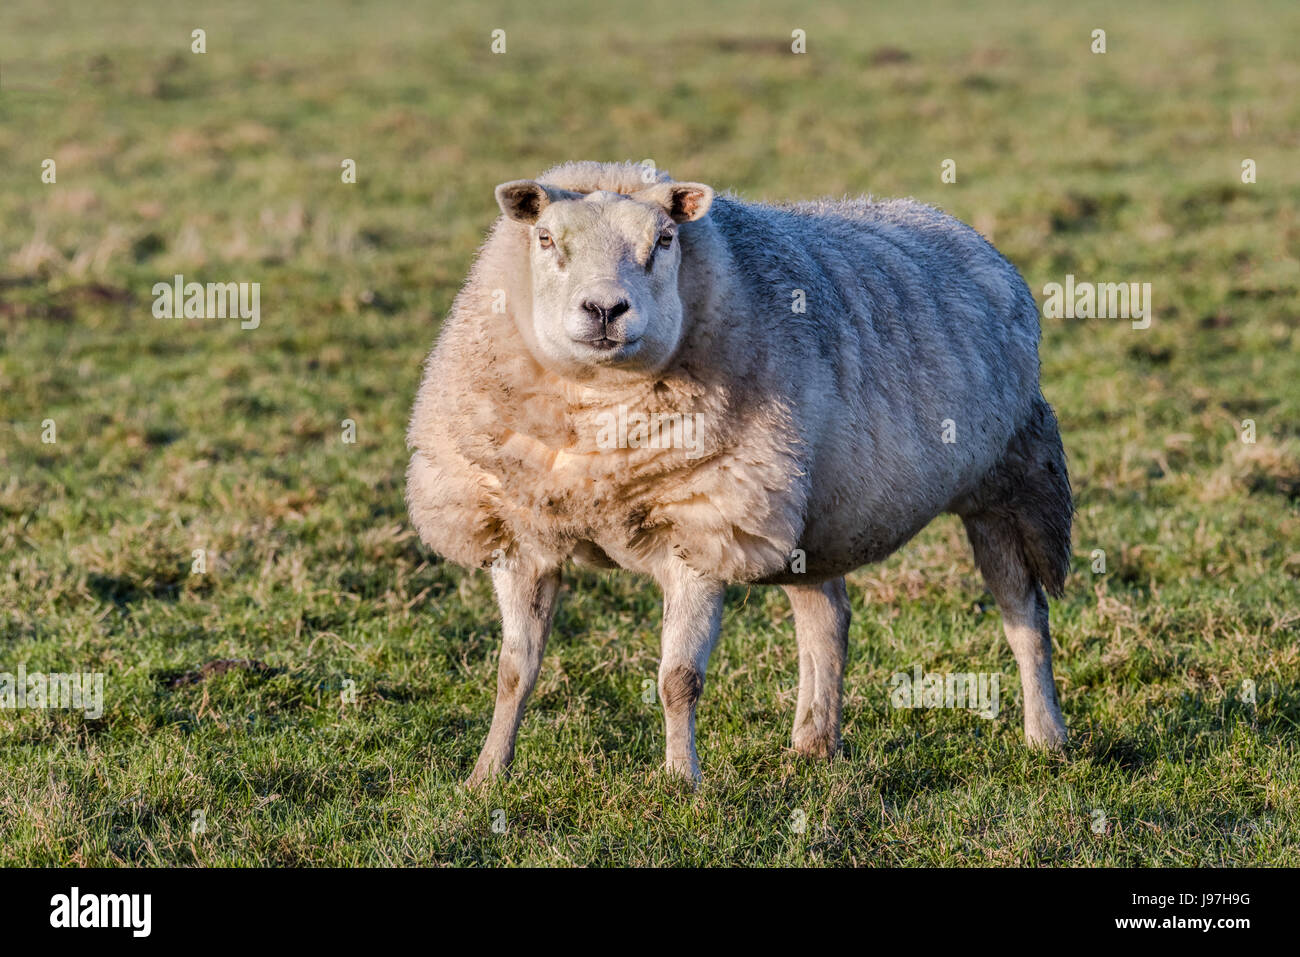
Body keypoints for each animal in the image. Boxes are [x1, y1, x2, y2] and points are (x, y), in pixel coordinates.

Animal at [408, 158, 1076, 785]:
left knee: (1025, 615)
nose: (604, 310)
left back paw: (1046, 738)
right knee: (826, 620)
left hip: (1006, 484)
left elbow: (677, 678)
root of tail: (955, 227)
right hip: (812, 511)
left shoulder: (705, 528)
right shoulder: (519, 536)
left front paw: (681, 782)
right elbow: (512, 671)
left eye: (665, 240)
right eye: (546, 239)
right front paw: (485, 776)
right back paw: (814, 744)